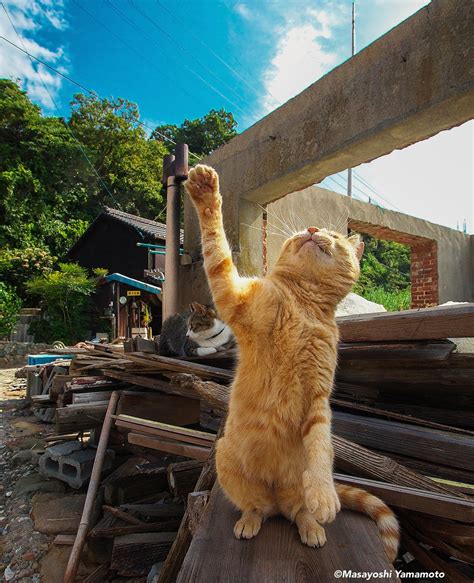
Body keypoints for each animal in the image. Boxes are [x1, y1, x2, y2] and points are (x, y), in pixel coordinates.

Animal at [185, 163, 400, 560]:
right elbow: (216, 246)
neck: (302, 303)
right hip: (231, 468)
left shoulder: (318, 397)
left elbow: (319, 447)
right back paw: (250, 521)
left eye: (334, 234)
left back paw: (311, 525)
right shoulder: (231, 293)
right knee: (257, 508)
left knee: (297, 511)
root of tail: (274, 495)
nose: (312, 230)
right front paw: (206, 191)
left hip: (291, 494)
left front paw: (324, 496)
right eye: (310, 230)